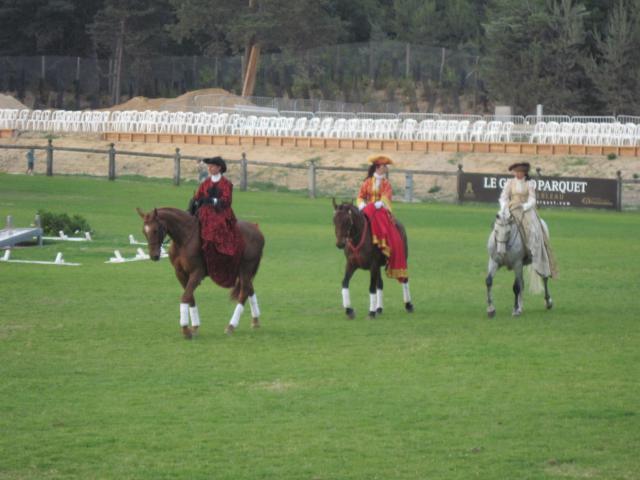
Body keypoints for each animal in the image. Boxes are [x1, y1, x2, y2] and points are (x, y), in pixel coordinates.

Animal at [136, 207, 264, 338]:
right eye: (144, 231)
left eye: (155, 230)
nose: (154, 256)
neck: (184, 240)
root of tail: (256, 229)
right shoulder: (180, 274)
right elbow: (190, 298)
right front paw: (194, 327)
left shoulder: (197, 273)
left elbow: (185, 297)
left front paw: (185, 329)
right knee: (249, 289)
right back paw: (255, 321)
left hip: (246, 268)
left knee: (244, 292)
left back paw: (231, 326)